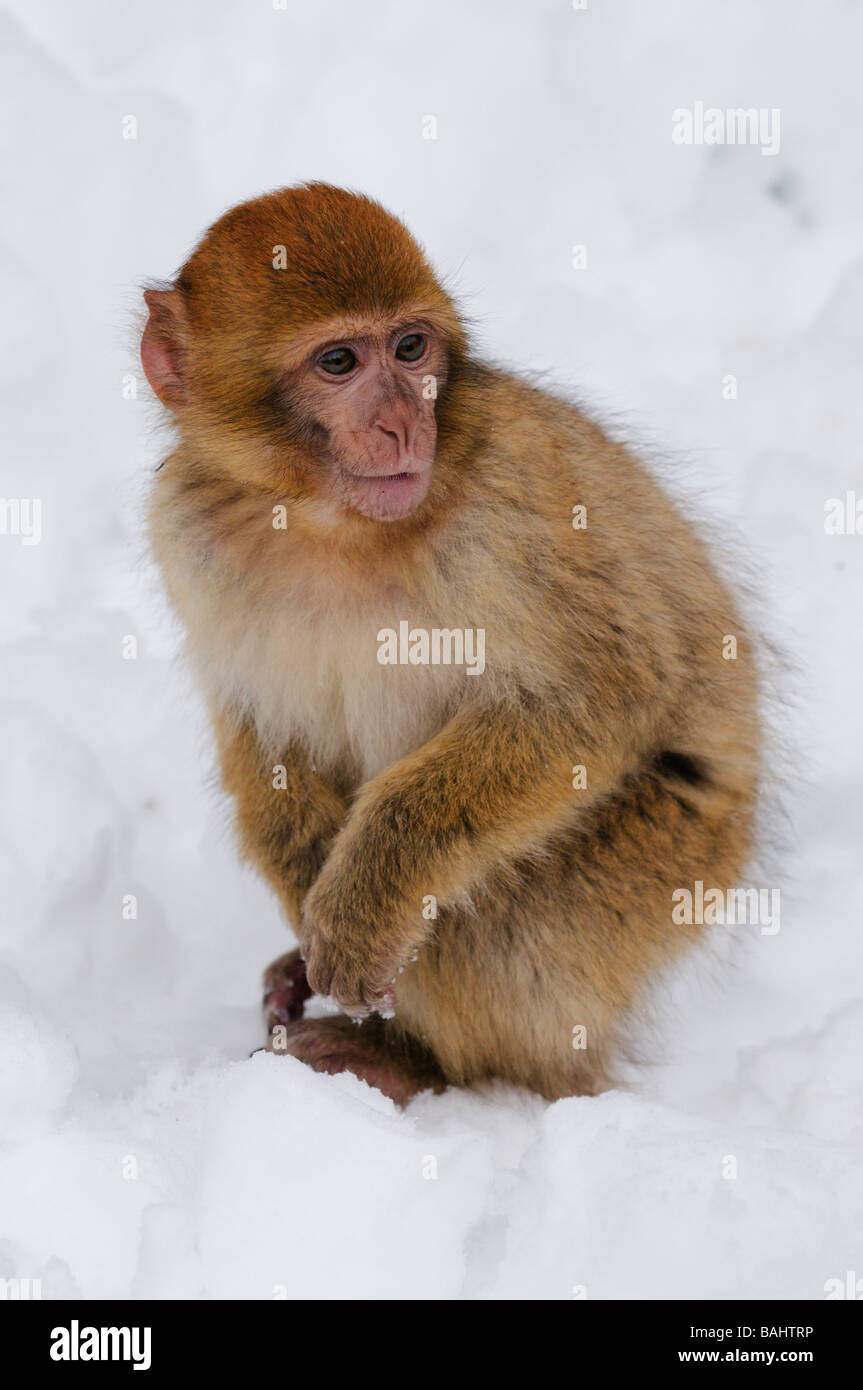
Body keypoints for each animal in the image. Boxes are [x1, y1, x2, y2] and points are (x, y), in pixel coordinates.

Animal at [141, 182, 761, 1106]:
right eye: (338, 362)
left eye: (410, 347)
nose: (405, 424)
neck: (326, 522)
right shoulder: (185, 533)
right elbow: (258, 723)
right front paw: (303, 870)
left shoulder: (513, 501)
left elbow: (598, 698)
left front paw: (361, 902)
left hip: (665, 863)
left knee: (498, 934)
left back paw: (422, 1062)